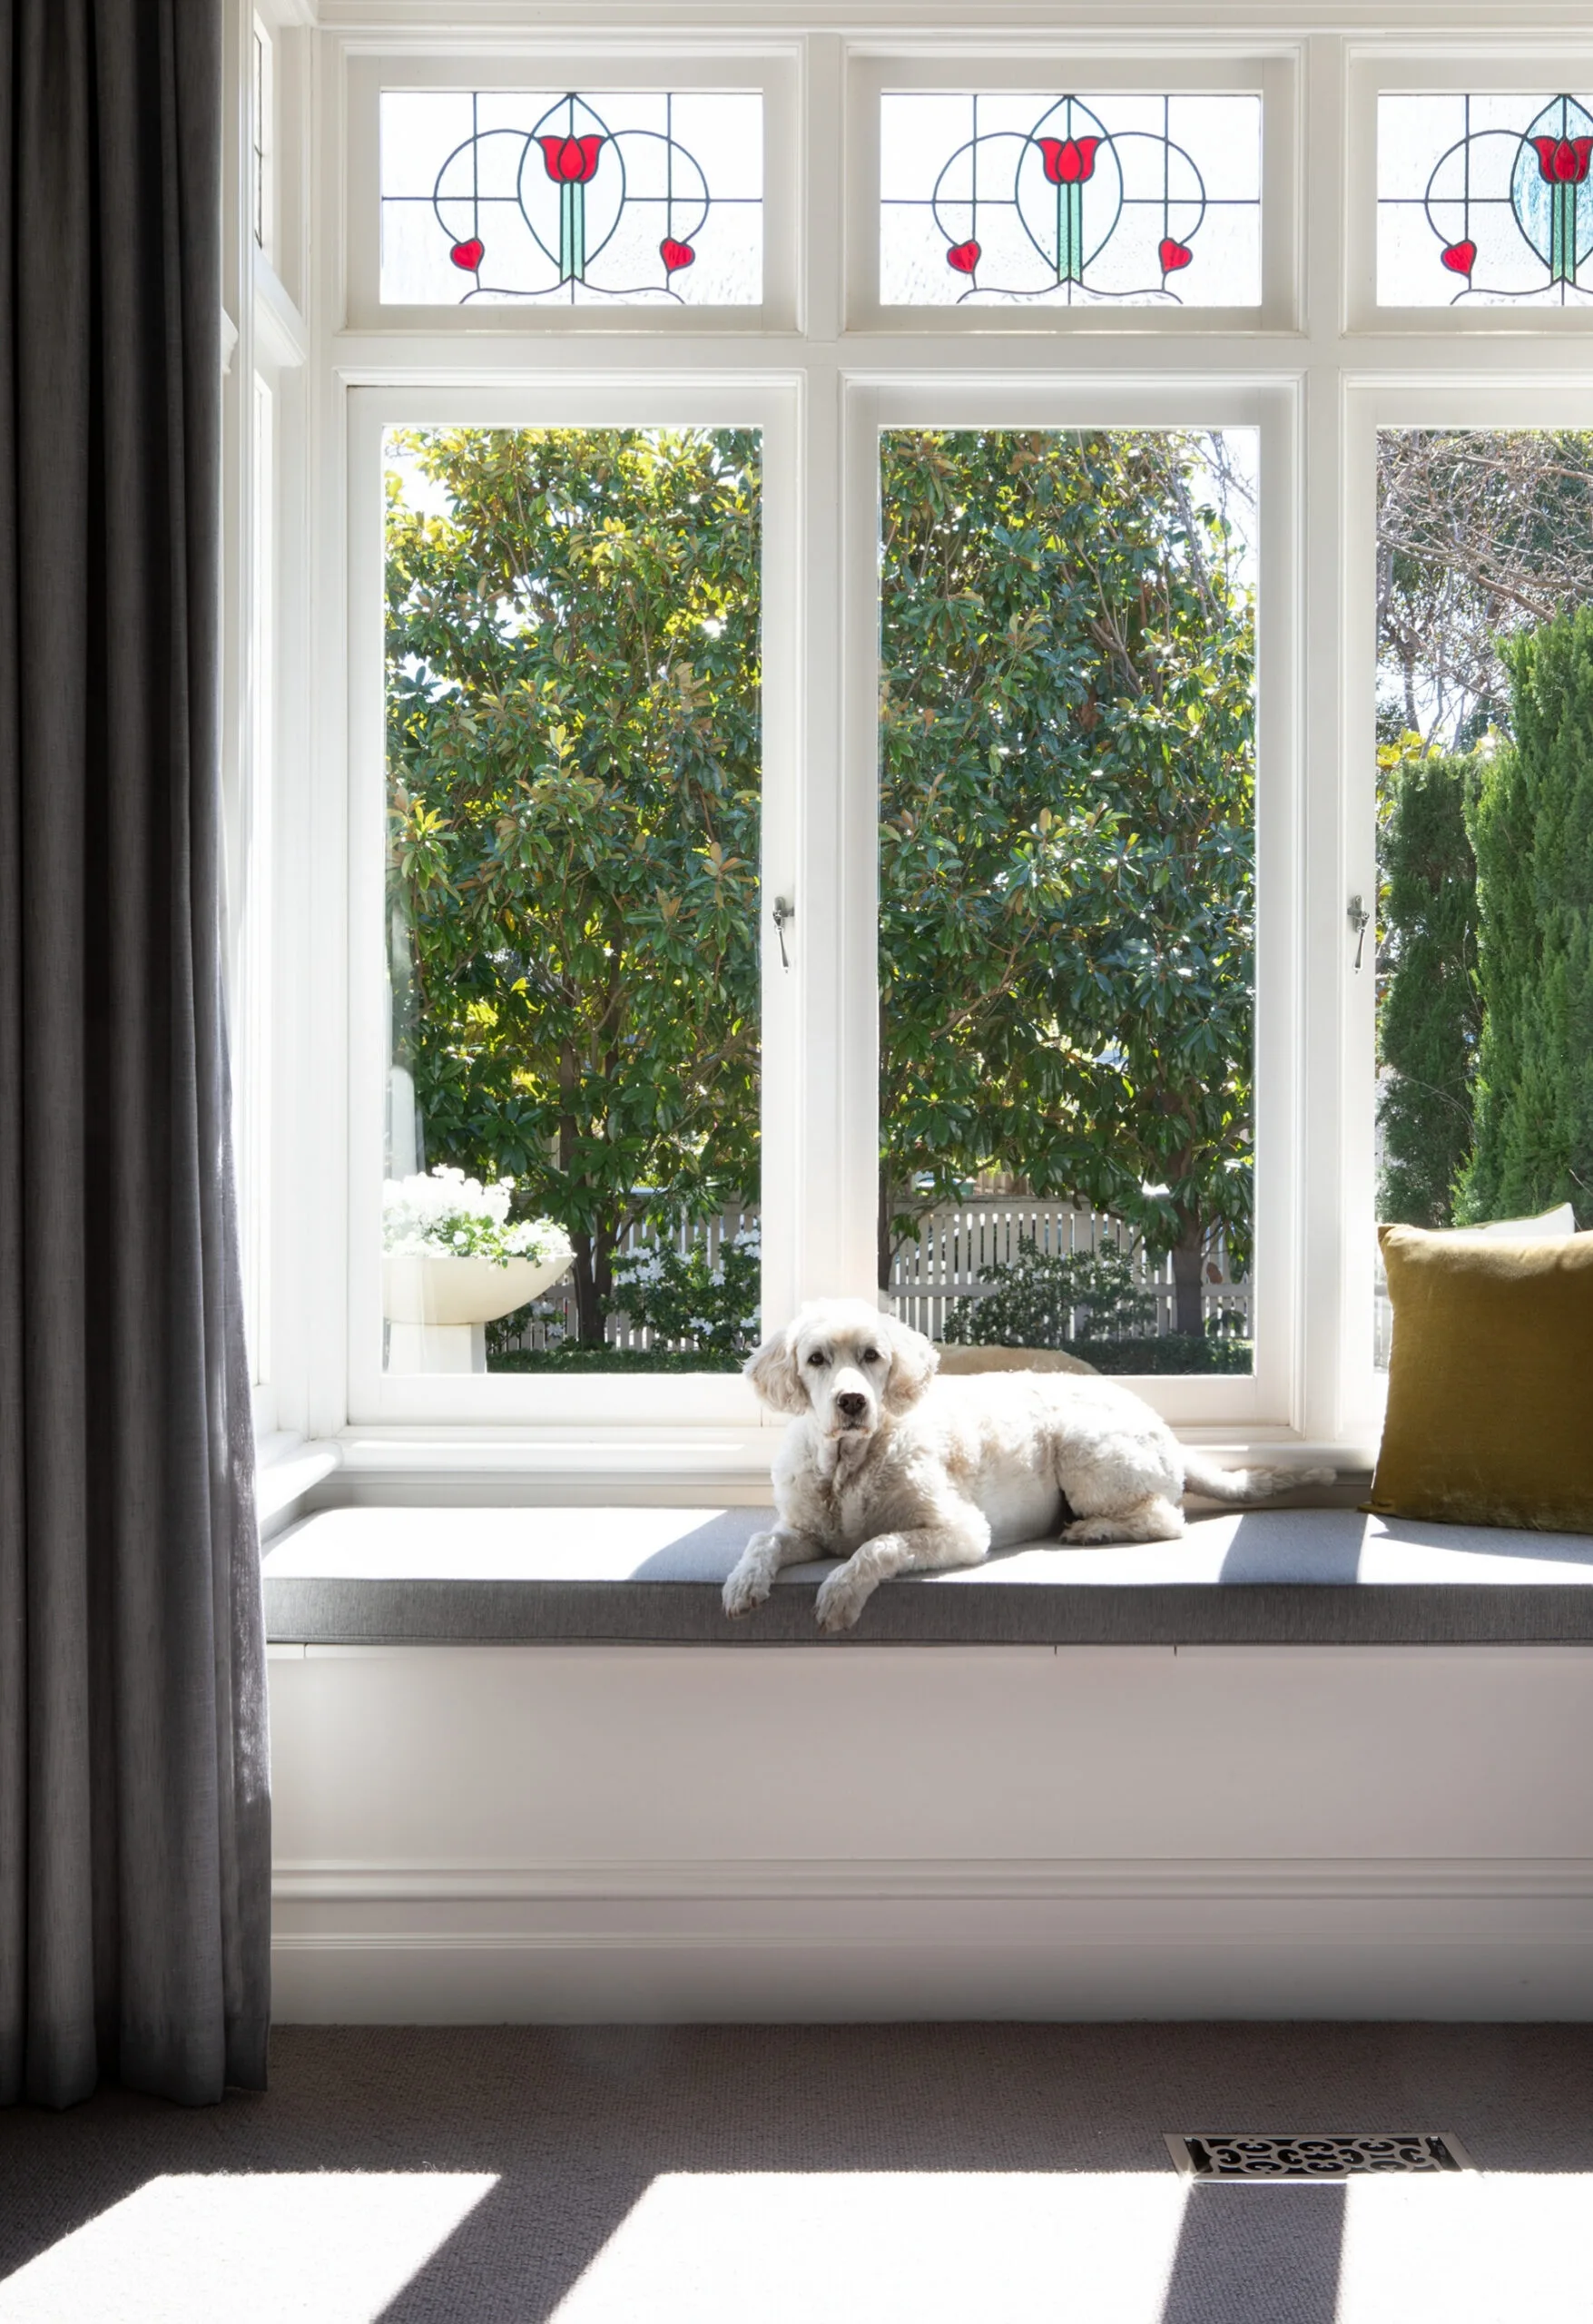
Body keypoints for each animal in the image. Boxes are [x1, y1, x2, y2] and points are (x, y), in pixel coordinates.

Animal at [729, 1292, 1337, 1636]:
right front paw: (742, 1584)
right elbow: (762, 1540)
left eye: (872, 1356)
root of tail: (1160, 1421)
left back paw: (1092, 1531)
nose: (852, 1402)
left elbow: (876, 1546)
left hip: (1084, 1449)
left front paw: (839, 1594)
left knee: (1166, 1519)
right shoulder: (806, 1529)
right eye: (816, 1359)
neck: (847, 1465)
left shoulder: (961, 1531)